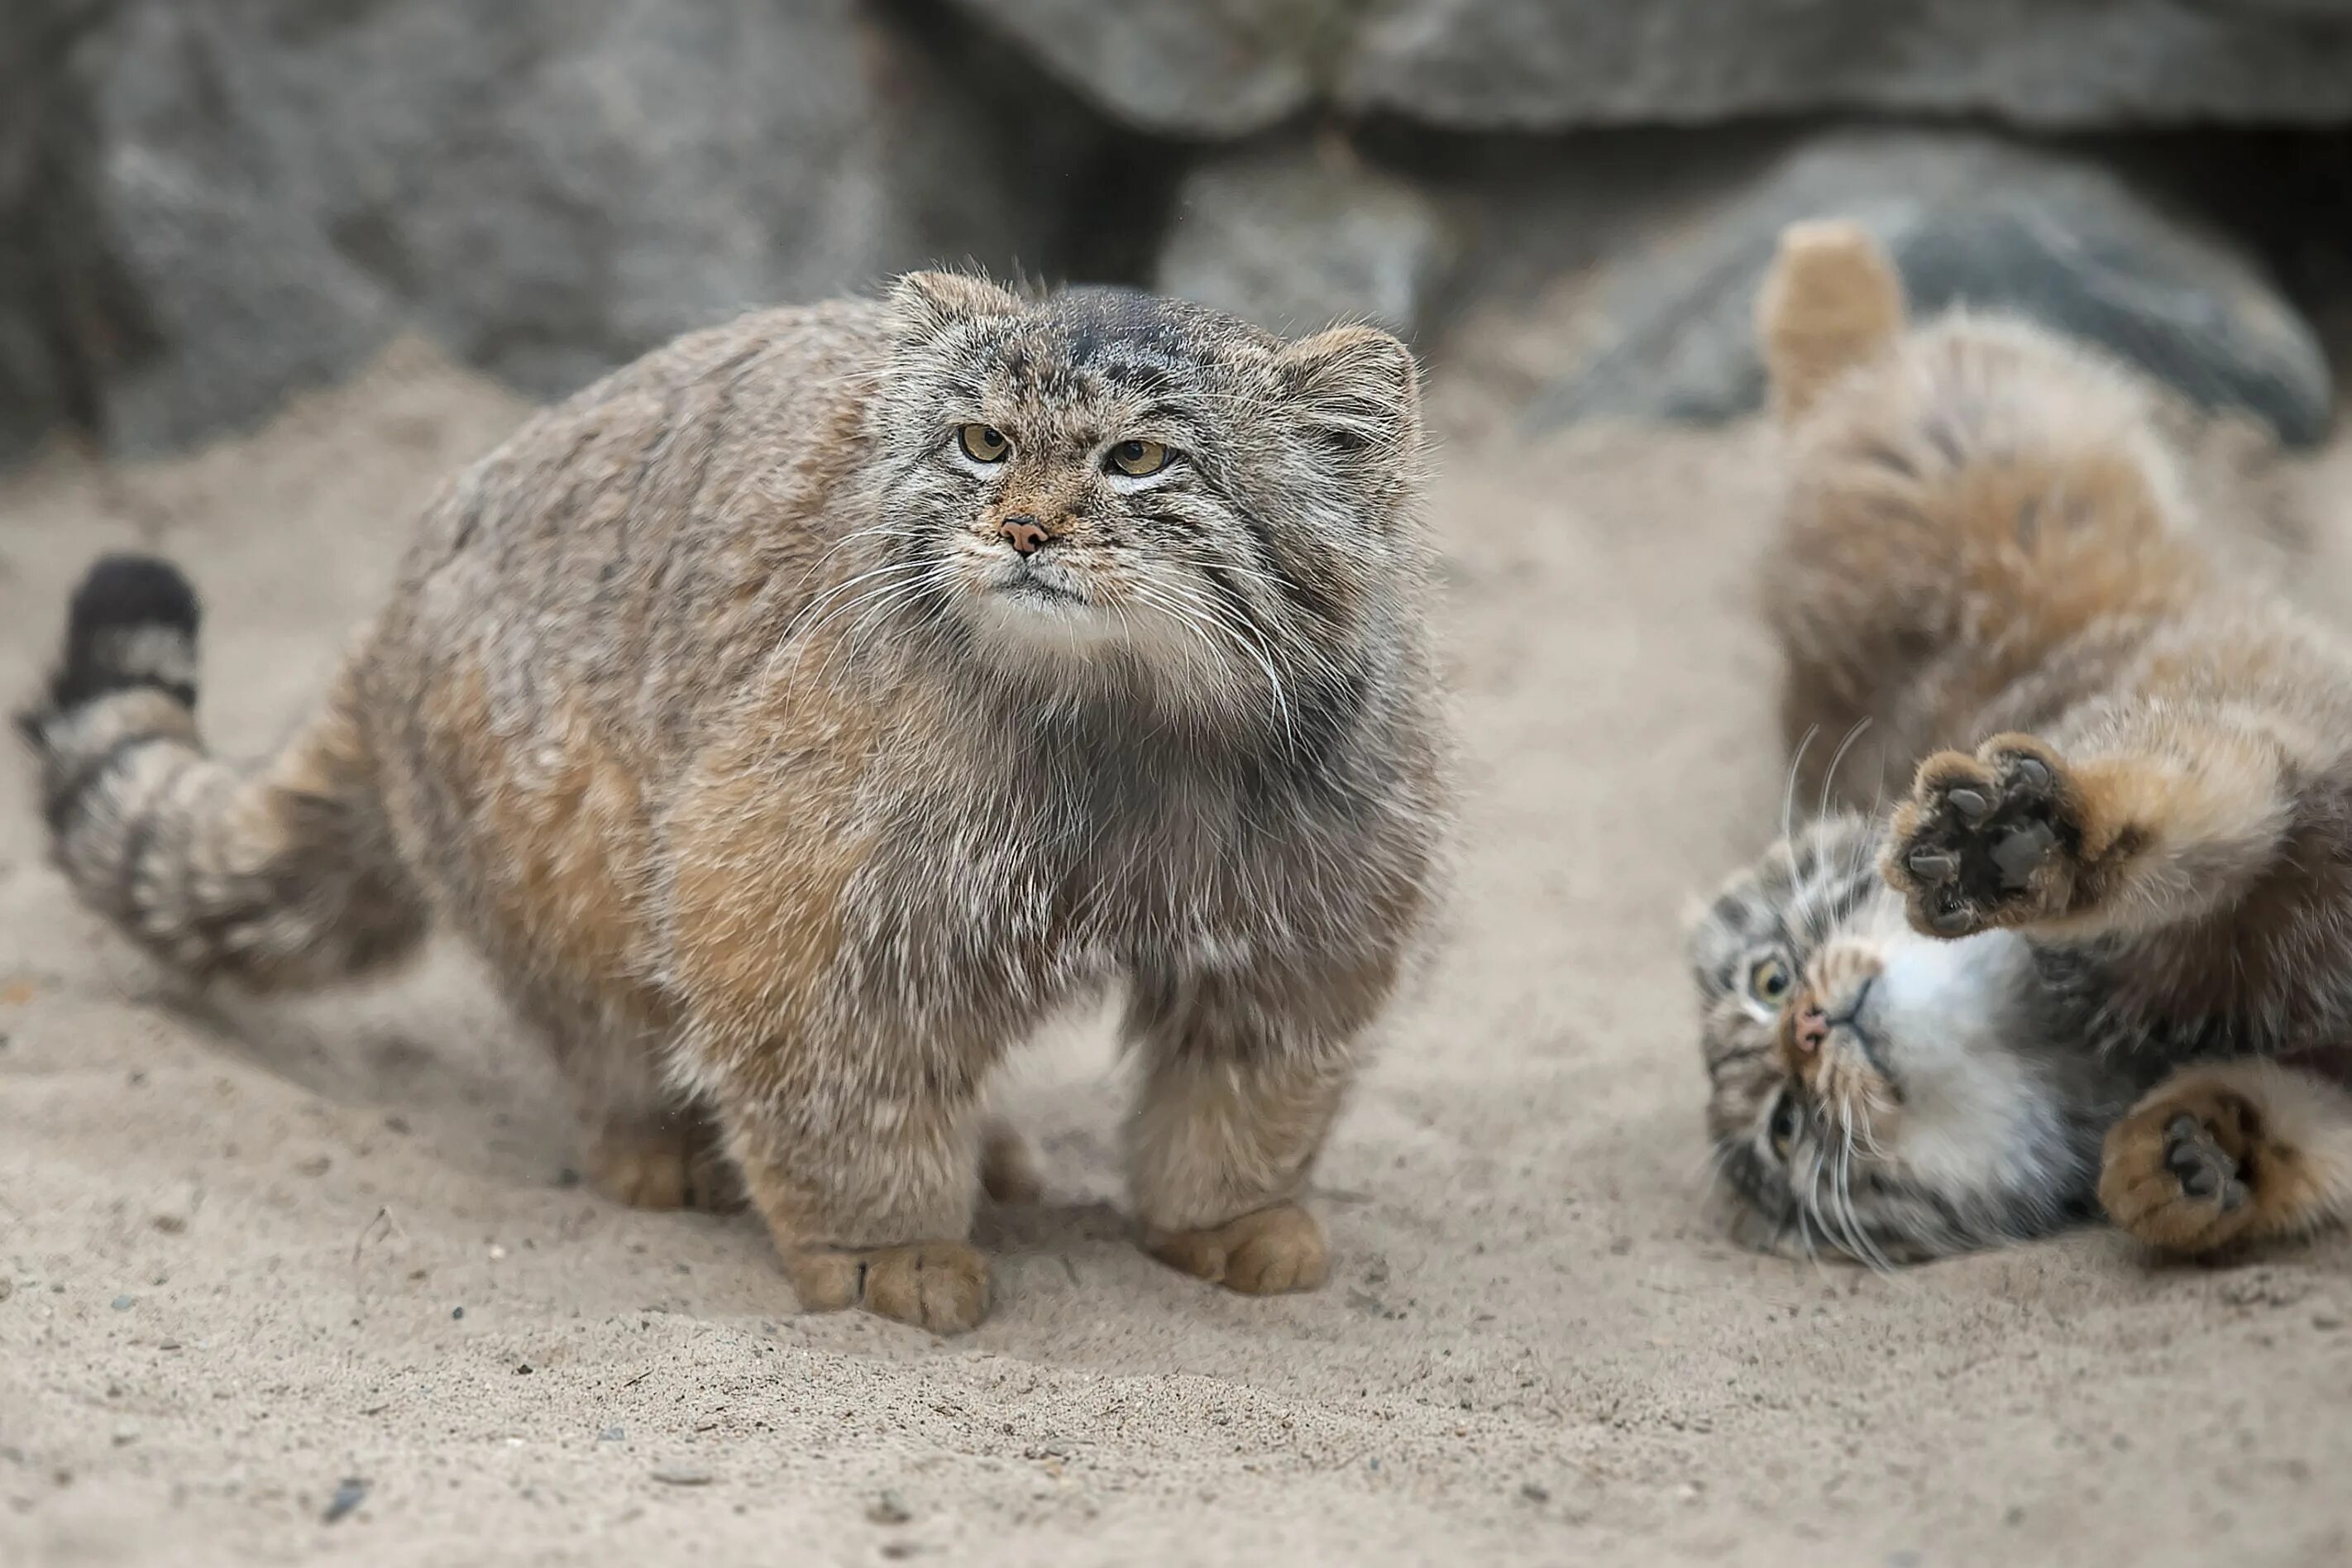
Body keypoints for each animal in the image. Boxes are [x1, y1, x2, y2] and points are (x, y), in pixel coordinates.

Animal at [22, 276, 1448, 1335]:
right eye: (983, 442)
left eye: (1140, 458)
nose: (1026, 531)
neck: (1129, 727)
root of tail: (397, 593)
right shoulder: (795, 900)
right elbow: (840, 1079)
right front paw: (885, 1244)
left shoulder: (1309, 915)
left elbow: (1247, 1085)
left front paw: (1224, 1214)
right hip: (573, 843)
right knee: (601, 1019)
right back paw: (665, 1144)